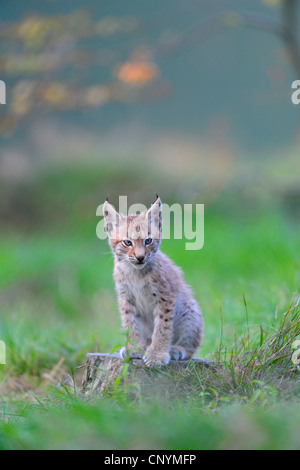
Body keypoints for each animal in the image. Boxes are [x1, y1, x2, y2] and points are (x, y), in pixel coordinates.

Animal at [103, 195, 204, 368]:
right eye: (127, 242)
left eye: (148, 241)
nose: (140, 257)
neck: (134, 272)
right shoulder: (125, 297)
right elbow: (130, 324)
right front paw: (134, 349)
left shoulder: (165, 297)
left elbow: (162, 327)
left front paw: (157, 354)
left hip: (189, 308)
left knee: (192, 347)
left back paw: (176, 349)